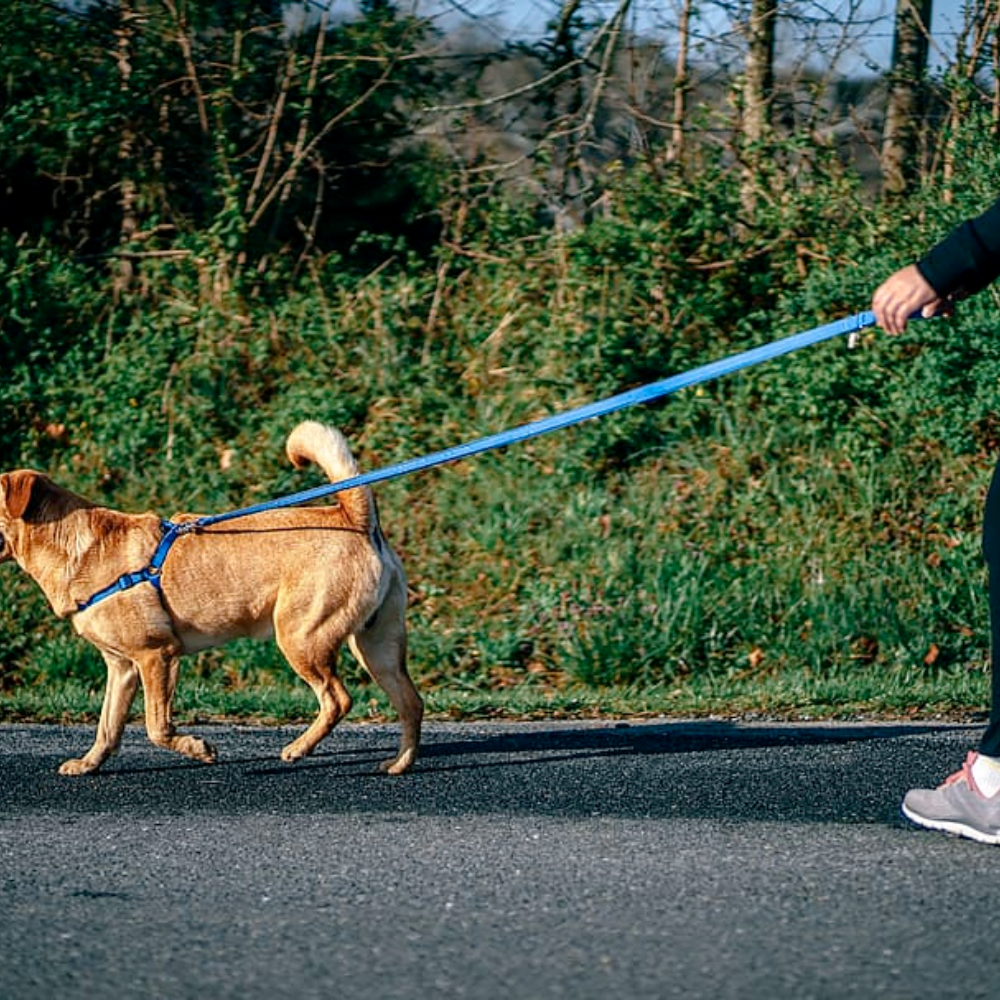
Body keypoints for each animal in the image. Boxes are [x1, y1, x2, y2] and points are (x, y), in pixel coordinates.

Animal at [0, 422, 420, 772]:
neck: (75, 547)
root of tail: (352, 518)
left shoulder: (157, 656)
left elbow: (156, 727)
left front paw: (198, 748)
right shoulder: (121, 668)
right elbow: (107, 726)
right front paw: (89, 763)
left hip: (301, 637)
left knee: (337, 699)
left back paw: (299, 748)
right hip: (376, 647)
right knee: (410, 703)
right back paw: (399, 763)